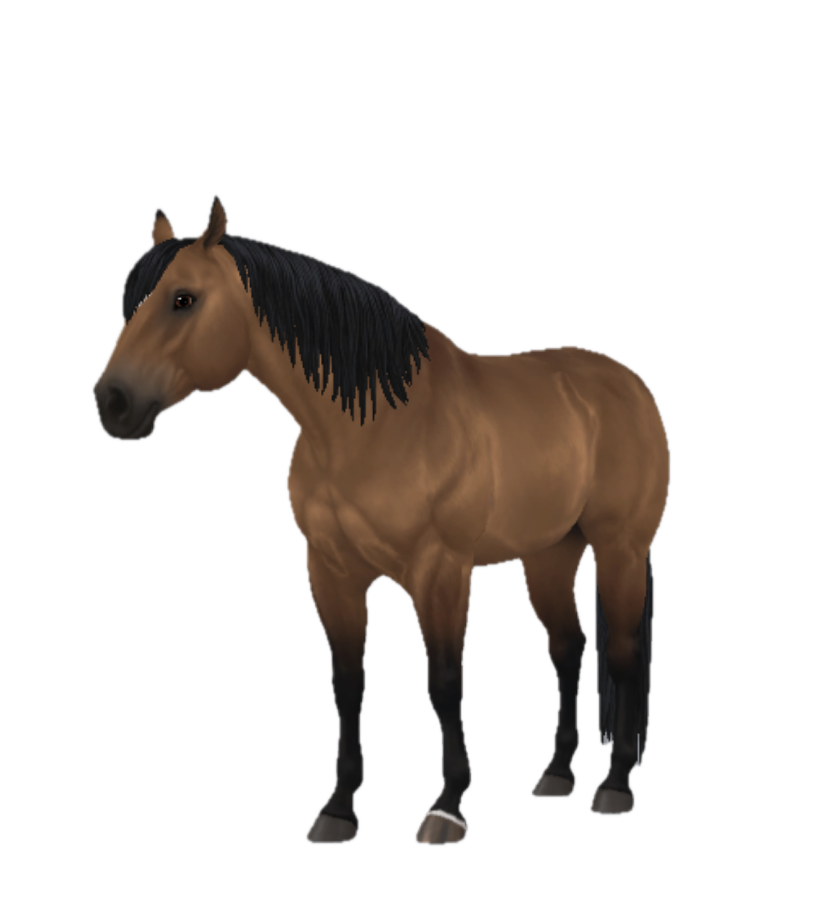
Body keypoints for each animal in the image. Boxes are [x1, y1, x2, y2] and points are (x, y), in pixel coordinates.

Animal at [92, 195, 671, 843]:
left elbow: (443, 682)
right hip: (549, 555)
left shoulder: (440, 573)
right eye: (129, 304)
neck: (374, 427)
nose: (112, 403)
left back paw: (614, 785)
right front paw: (338, 808)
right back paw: (555, 775)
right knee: (568, 649)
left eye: (183, 299)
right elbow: (347, 683)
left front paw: (446, 806)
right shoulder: (331, 572)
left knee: (623, 653)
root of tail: (628, 385)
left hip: (620, 551)